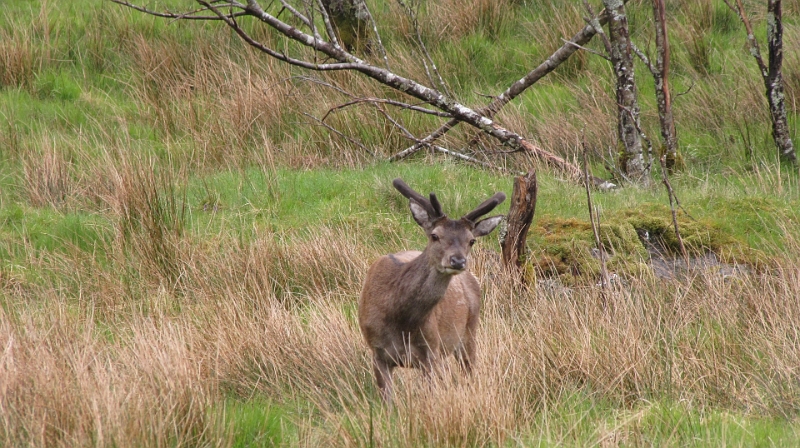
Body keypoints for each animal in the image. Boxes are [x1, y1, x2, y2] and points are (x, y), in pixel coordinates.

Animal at [358, 178, 504, 402]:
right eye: (435, 235)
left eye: (471, 240)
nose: (458, 261)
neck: (401, 321)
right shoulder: (377, 351)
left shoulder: (431, 351)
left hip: (469, 331)